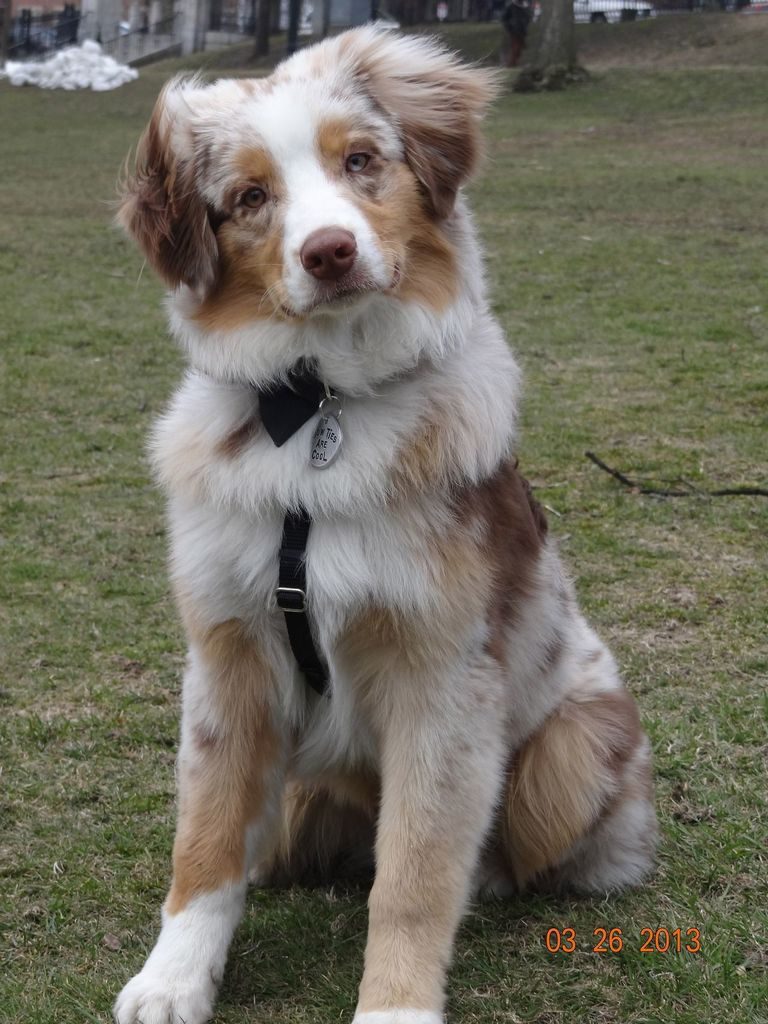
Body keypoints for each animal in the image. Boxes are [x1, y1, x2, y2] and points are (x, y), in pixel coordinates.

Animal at [112, 28, 655, 1024]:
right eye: (250, 198)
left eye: (360, 161)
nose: (328, 251)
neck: (319, 408)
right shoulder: (227, 657)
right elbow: (204, 841)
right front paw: (170, 980)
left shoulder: (441, 679)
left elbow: (413, 875)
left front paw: (395, 1006)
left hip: (571, 749)